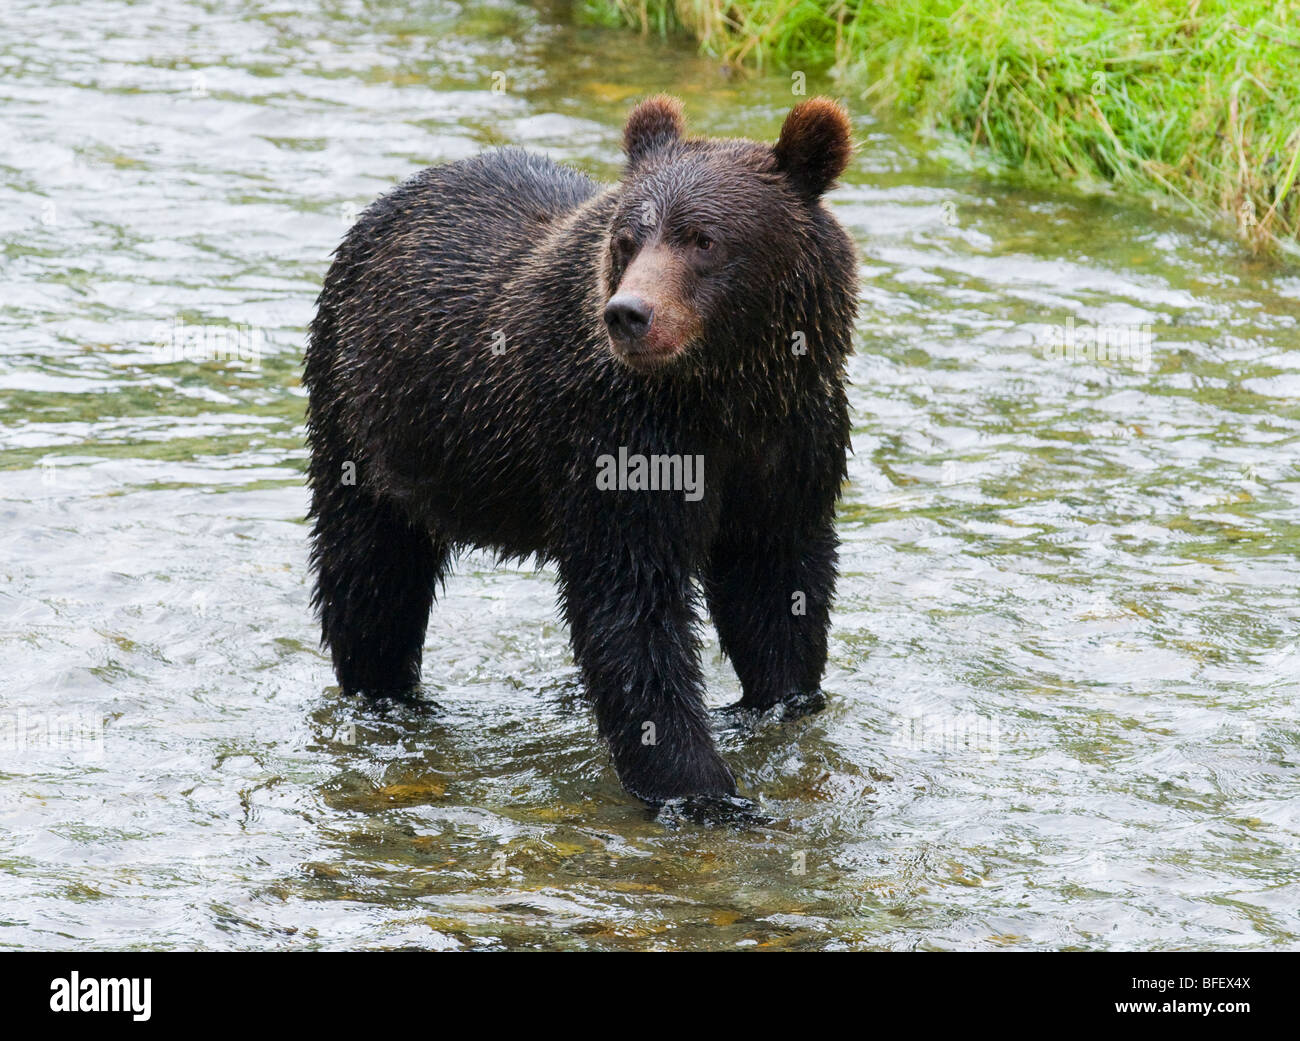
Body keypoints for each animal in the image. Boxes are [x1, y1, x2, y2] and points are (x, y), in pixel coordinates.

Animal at [302, 97, 852, 805]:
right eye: (628, 240)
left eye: (703, 238)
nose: (630, 314)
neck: (719, 395)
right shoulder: (616, 436)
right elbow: (632, 608)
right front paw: (701, 790)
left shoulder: (792, 443)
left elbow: (778, 588)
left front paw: (782, 703)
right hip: (365, 421)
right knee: (370, 572)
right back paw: (388, 694)